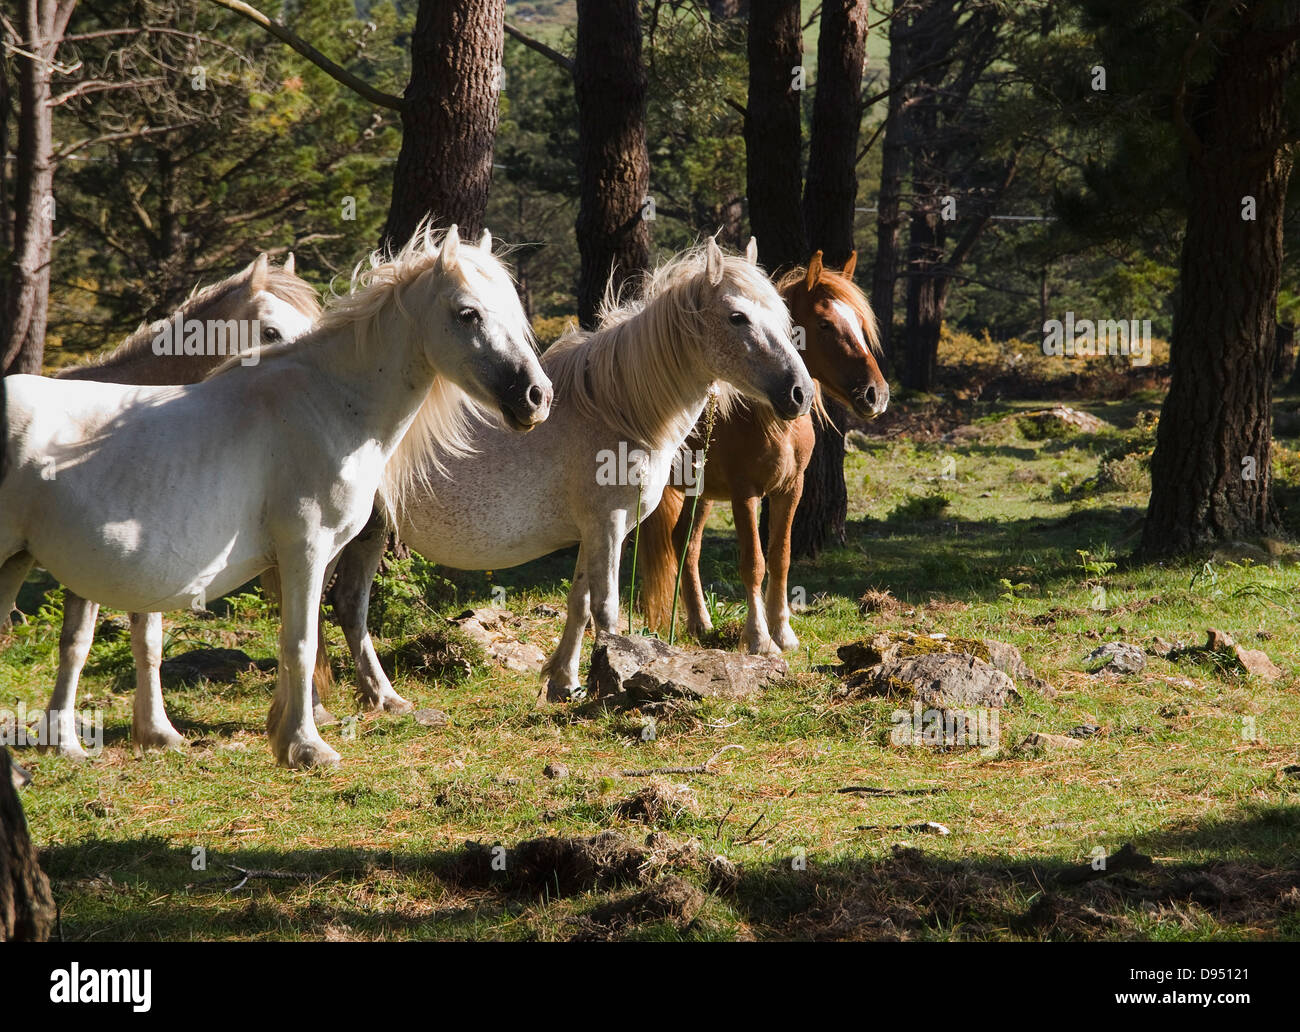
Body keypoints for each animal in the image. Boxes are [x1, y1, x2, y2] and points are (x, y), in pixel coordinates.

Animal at [0, 227, 551, 769]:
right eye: (468, 313)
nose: (536, 396)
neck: (329, 405)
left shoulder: (318, 555)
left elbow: (301, 638)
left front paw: (288, 731)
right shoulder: (303, 549)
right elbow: (301, 642)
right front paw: (307, 746)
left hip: (17, 562)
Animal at [318, 236, 811, 701]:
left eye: (782, 315)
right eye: (737, 317)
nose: (800, 393)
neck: (615, 408)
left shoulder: (593, 532)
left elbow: (579, 602)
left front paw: (565, 681)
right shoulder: (608, 525)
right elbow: (607, 608)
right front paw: (614, 682)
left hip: (368, 531)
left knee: (343, 602)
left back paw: (370, 695)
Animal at [637, 249, 889, 652]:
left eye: (859, 323)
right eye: (825, 324)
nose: (876, 394)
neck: (768, 419)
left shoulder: (790, 489)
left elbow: (780, 556)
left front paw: (783, 632)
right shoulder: (746, 494)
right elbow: (753, 562)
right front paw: (758, 637)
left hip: (701, 493)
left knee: (685, 544)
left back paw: (700, 623)